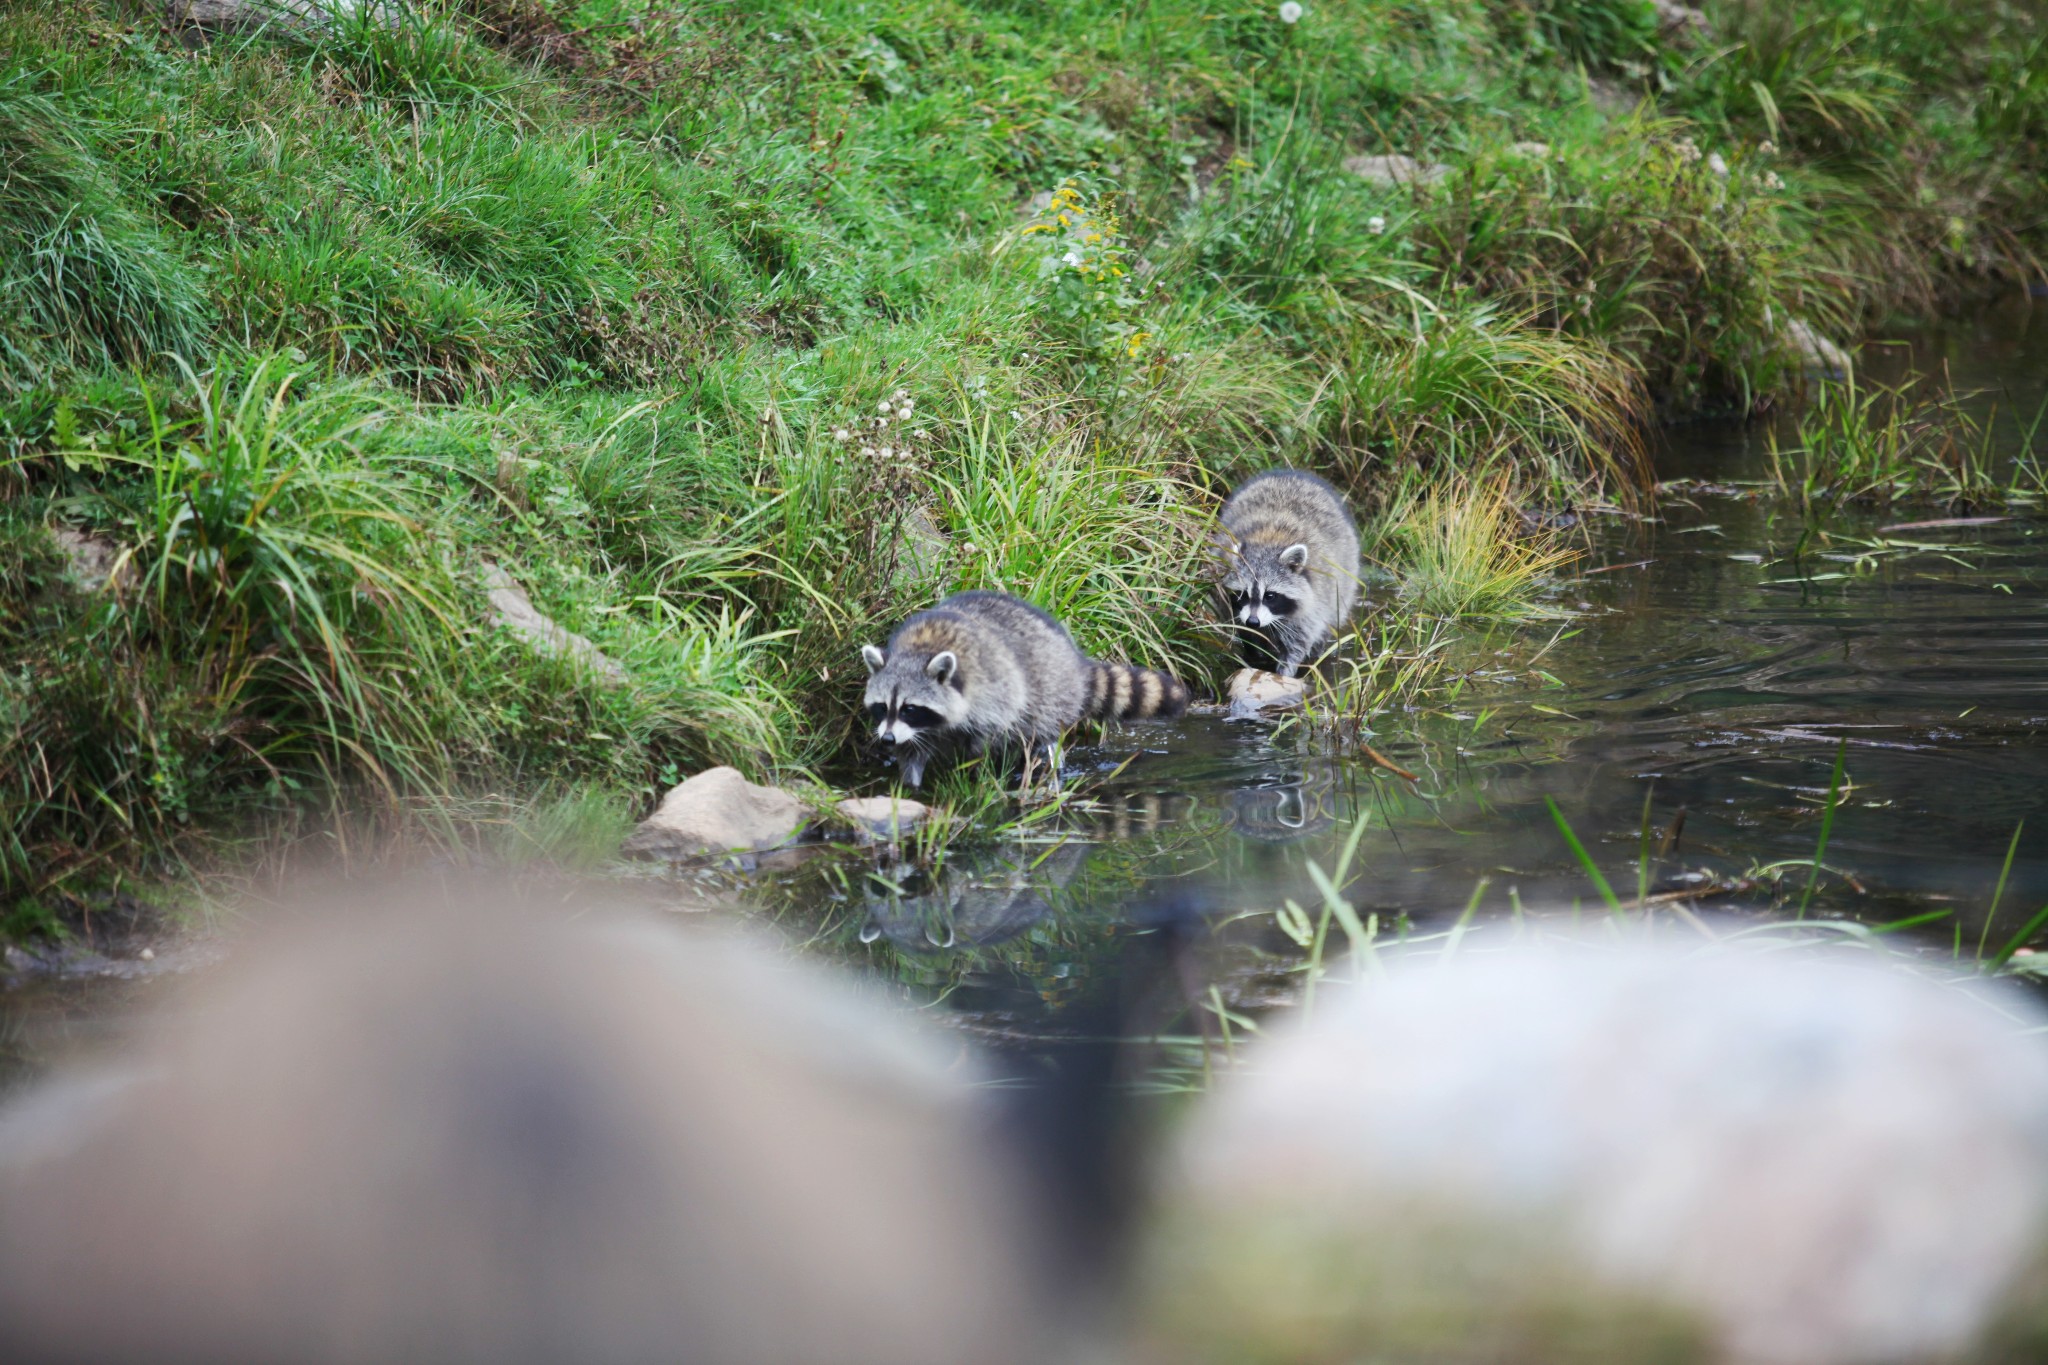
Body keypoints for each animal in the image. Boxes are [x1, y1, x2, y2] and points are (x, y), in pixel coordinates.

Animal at [860, 589, 1187, 789]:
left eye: (910, 709)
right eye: (882, 707)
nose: (886, 739)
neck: (920, 649)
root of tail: (1074, 660)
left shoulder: (993, 694)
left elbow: (985, 741)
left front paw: (974, 771)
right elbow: (912, 750)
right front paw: (909, 783)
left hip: (1050, 689)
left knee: (1041, 730)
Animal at [1212, 470, 1359, 679]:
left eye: (1270, 596)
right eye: (1242, 594)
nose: (1253, 621)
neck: (1268, 540)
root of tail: (1292, 474)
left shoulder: (1312, 606)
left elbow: (1296, 645)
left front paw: (1285, 673)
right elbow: (1246, 634)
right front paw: (1253, 656)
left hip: (1343, 580)